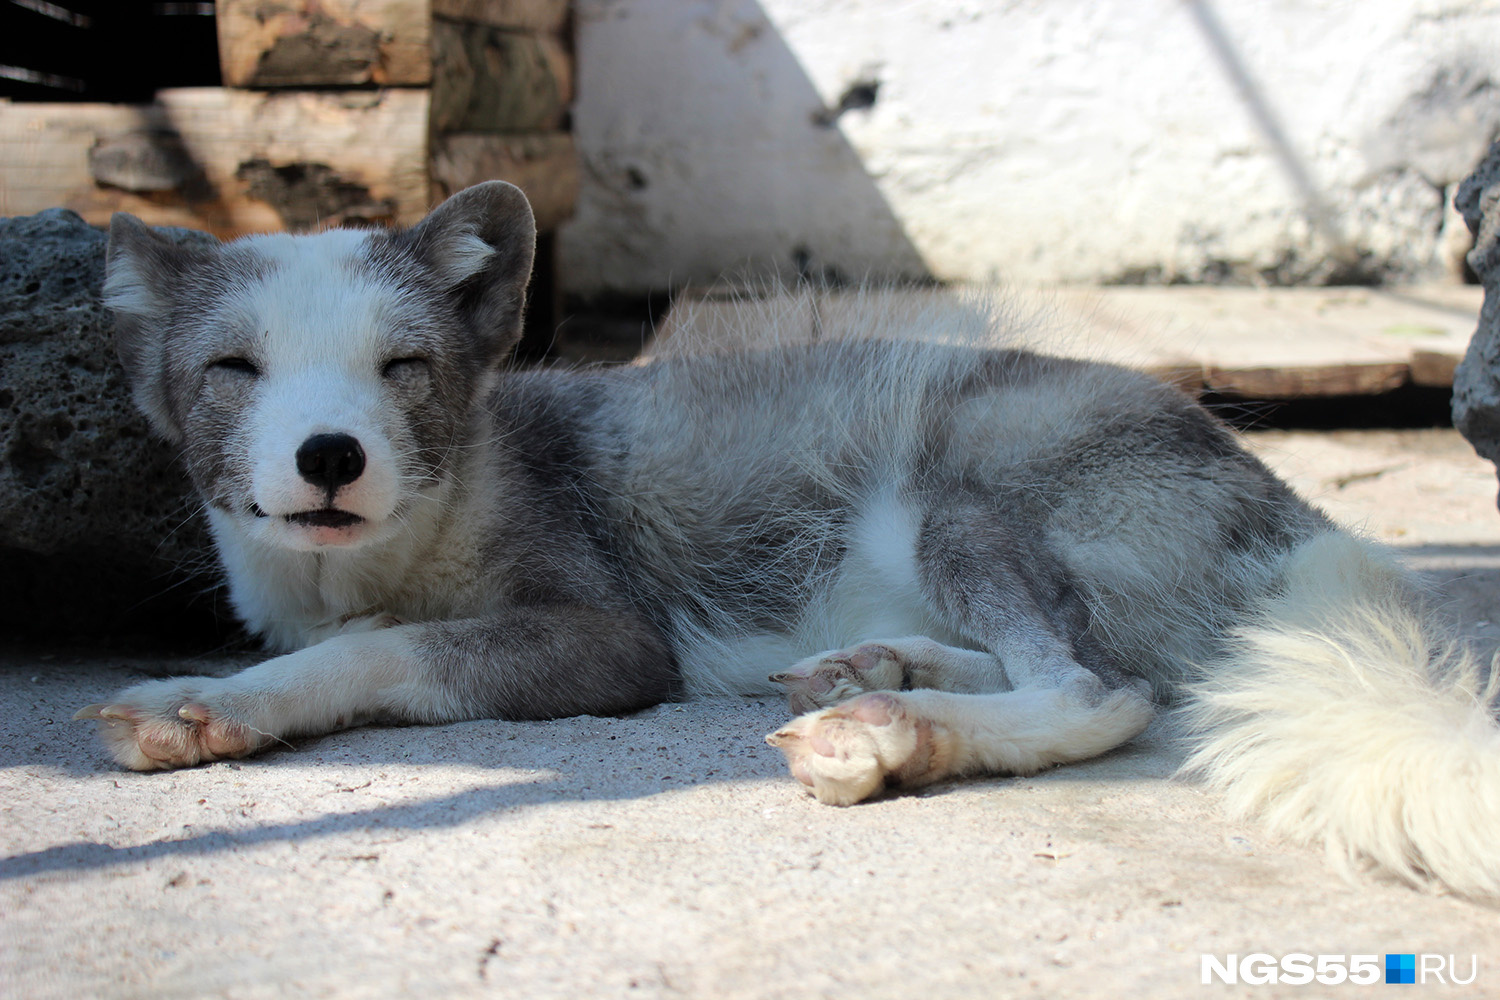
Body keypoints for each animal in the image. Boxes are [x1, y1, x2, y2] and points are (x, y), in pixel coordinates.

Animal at [79, 179, 1500, 899]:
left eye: (403, 367)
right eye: (234, 370)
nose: (330, 456)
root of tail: (1303, 518)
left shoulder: (606, 638)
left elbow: (375, 651)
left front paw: (212, 698)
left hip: (953, 490)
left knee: (1104, 688)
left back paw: (896, 728)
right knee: (1070, 663)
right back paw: (883, 669)